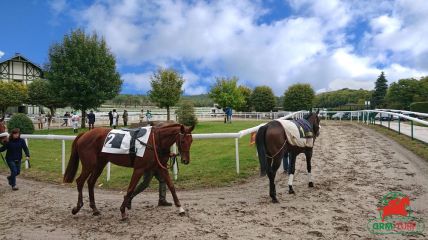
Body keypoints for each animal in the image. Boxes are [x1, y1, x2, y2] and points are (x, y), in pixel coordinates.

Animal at [62, 124, 194, 219]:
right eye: (183, 141)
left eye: (191, 141)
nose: (186, 160)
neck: (155, 141)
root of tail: (84, 134)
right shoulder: (139, 169)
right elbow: (130, 188)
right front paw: (123, 211)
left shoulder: (160, 167)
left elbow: (171, 186)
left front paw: (181, 209)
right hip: (89, 164)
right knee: (80, 181)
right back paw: (77, 208)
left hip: (100, 164)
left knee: (90, 182)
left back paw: (95, 209)